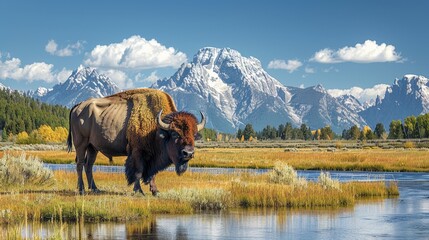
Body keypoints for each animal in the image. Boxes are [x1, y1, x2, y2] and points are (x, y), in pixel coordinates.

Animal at [67, 88, 206, 195]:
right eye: (174, 133)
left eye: (194, 135)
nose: (188, 153)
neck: (157, 127)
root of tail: (78, 106)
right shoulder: (137, 152)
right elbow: (138, 171)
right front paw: (139, 191)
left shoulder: (152, 157)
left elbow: (152, 174)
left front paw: (155, 191)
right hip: (81, 144)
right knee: (80, 164)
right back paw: (81, 190)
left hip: (93, 147)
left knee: (89, 165)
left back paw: (95, 189)